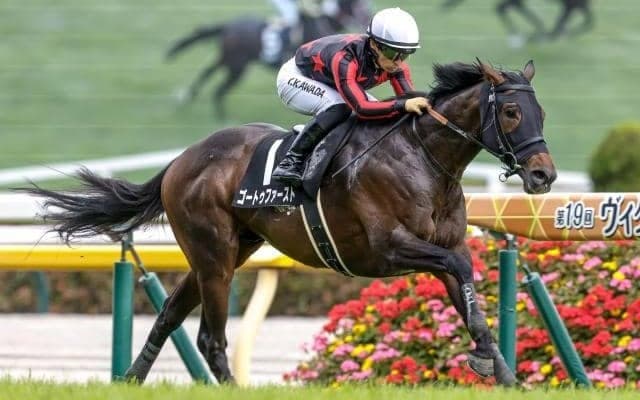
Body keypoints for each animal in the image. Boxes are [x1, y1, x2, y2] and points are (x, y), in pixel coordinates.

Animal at [21, 60, 556, 386]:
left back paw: (131, 378)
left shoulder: (447, 249)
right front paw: (489, 362)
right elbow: (461, 274)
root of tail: (181, 160)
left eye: (541, 111)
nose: (543, 175)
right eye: (511, 111)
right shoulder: (387, 249)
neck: (423, 158)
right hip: (215, 256)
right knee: (210, 336)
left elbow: (468, 293)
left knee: (171, 314)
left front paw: (503, 372)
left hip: (227, 251)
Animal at [165, 0, 371, 119]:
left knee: (208, 72)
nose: (367, 18)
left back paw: (185, 97)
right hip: (236, 66)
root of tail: (228, 26)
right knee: (219, 87)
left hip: (228, 60)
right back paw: (220, 117)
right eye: (359, 5)